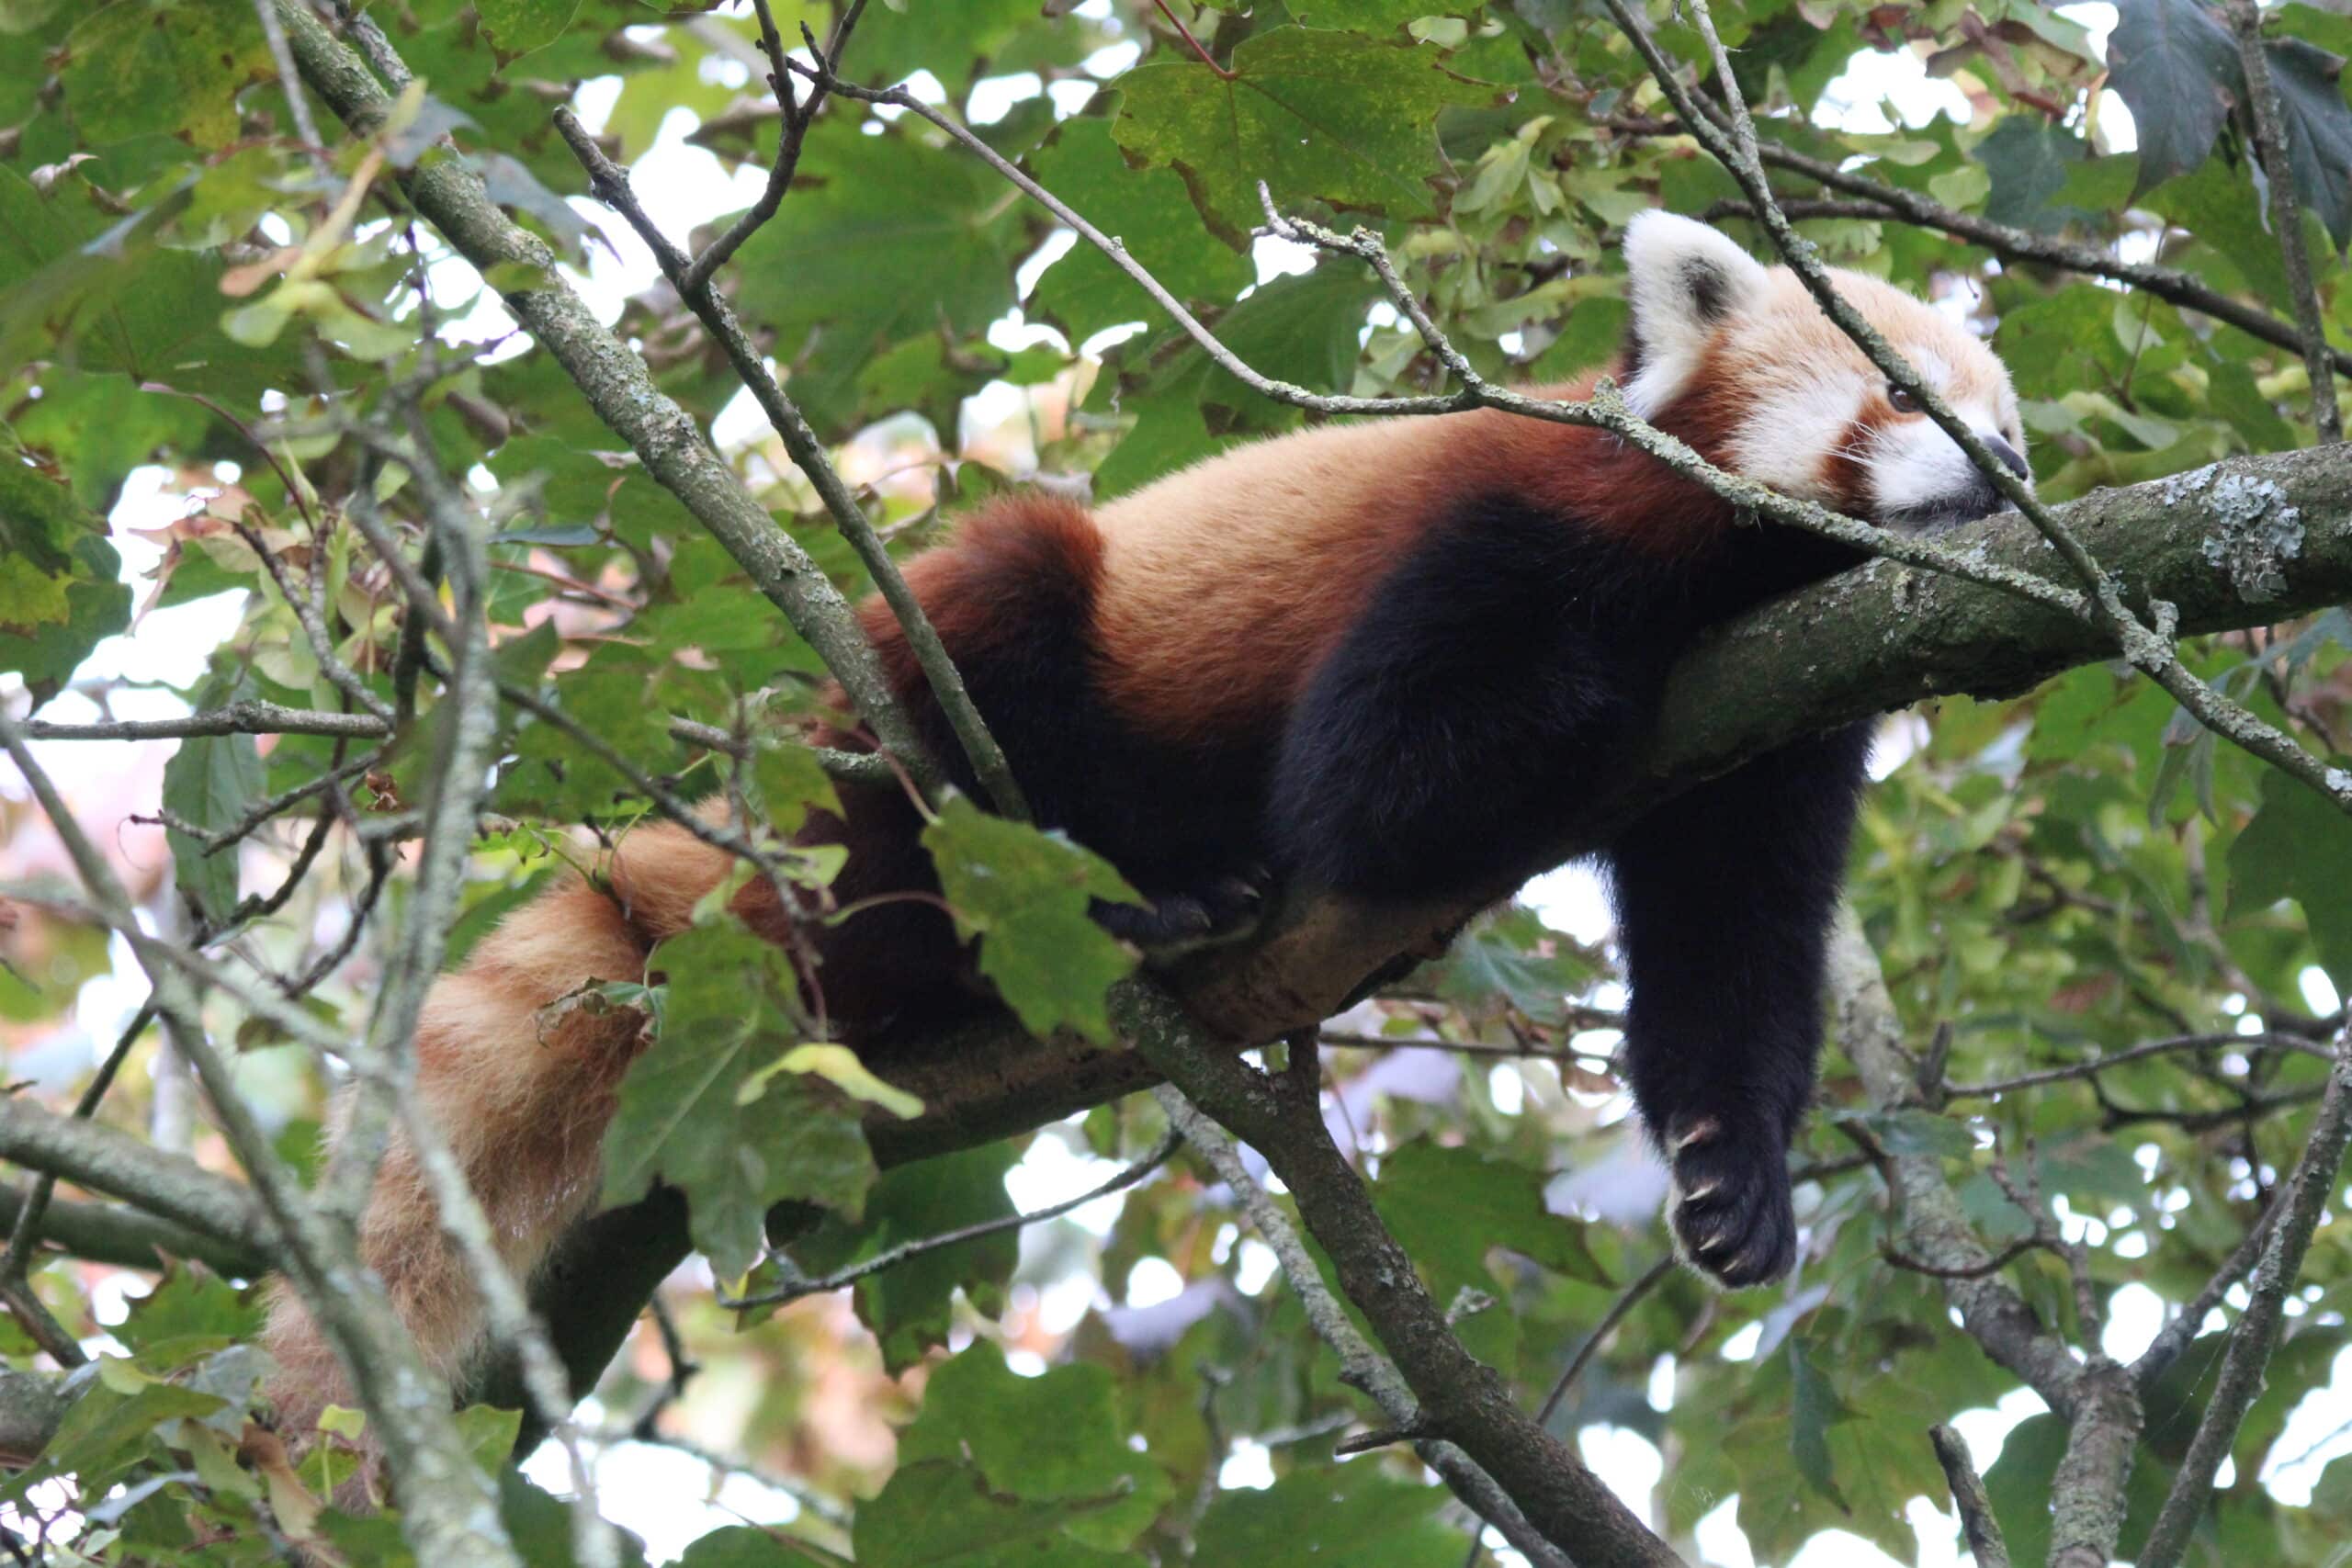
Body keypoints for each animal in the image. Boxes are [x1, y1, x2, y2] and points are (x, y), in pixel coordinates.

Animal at [263, 211, 2028, 1427]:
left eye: (2008, 427)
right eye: (1902, 398)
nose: (2006, 476)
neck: (1746, 583)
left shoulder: (1781, 722)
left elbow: (1732, 949)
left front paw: (1735, 1176)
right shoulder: (1499, 532)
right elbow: (1377, 785)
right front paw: (1573, 693)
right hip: (928, 690)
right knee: (1001, 642)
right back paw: (1140, 895)